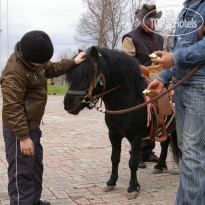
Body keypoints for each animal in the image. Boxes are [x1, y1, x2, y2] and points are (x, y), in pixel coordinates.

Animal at [63, 46, 179, 199]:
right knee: (165, 144)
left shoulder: (136, 138)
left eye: (87, 75)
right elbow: (114, 158)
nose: (68, 103)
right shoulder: (114, 135)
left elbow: (133, 163)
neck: (129, 100)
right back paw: (159, 166)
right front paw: (111, 182)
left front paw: (132, 187)